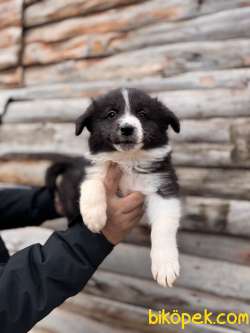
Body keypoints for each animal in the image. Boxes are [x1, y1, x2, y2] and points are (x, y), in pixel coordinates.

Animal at [75, 87, 181, 286]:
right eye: (111, 114)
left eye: (142, 114)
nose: (126, 128)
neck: (128, 160)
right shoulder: (96, 170)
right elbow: (92, 183)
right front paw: (94, 217)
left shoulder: (163, 186)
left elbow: (163, 226)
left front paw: (165, 265)